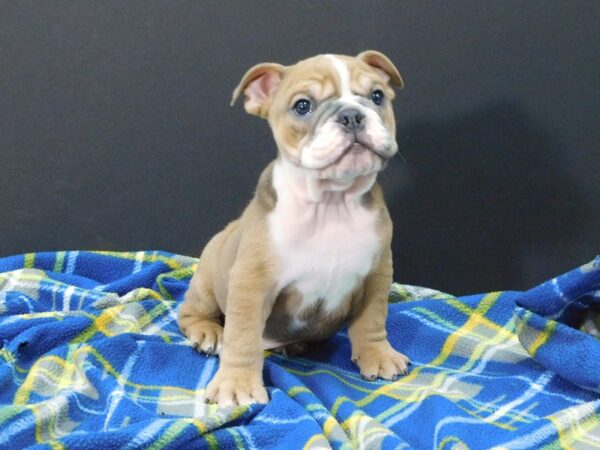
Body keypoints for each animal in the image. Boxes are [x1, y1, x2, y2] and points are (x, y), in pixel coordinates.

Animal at [178, 51, 410, 406]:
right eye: (303, 106)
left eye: (377, 96)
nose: (352, 115)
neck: (332, 203)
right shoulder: (251, 283)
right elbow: (242, 337)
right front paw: (237, 384)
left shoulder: (377, 273)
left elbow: (372, 319)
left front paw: (378, 355)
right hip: (206, 282)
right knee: (193, 314)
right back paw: (208, 333)